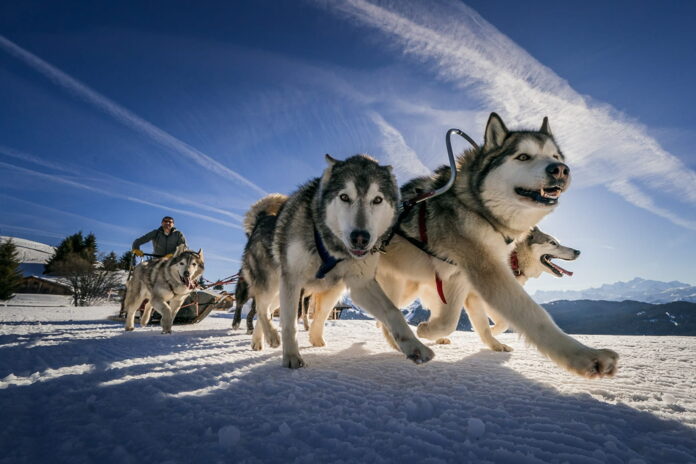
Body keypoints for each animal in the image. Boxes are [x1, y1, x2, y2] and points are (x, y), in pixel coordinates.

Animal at [242, 154, 432, 368]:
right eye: (344, 197)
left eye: (377, 200)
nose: (360, 238)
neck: (331, 248)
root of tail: (260, 220)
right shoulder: (292, 279)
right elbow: (290, 323)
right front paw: (291, 357)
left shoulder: (361, 284)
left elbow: (393, 311)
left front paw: (416, 348)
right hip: (273, 284)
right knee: (261, 307)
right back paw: (270, 336)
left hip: (290, 292)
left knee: (267, 311)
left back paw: (267, 340)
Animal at [378, 114, 616, 378]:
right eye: (523, 156)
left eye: (556, 156)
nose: (561, 169)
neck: (477, 206)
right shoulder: (485, 275)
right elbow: (531, 316)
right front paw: (585, 356)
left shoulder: (462, 282)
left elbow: (473, 321)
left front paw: (491, 342)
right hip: (401, 288)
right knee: (387, 314)